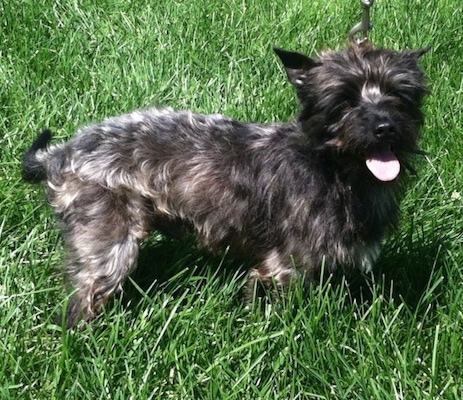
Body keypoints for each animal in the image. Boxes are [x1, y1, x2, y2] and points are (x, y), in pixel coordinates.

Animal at [20, 42, 428, 326]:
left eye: (398, 96)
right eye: (343, 101)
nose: (384, 126)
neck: (334, 170)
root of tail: (63, 153)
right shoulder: (283, 267)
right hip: (108, 243)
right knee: (84, 298)